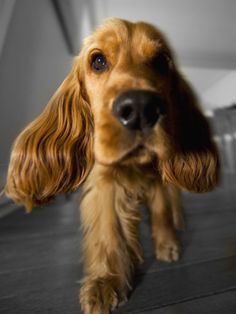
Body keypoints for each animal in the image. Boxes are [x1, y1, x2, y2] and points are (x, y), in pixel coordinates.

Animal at [5, 18, 219, 312]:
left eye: (161, 61)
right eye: (98, 61)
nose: (141, 108)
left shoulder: (158, 182)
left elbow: (162, 211)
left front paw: (167, 245)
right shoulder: (105, 183)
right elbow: (108, 230)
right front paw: (104, 283)